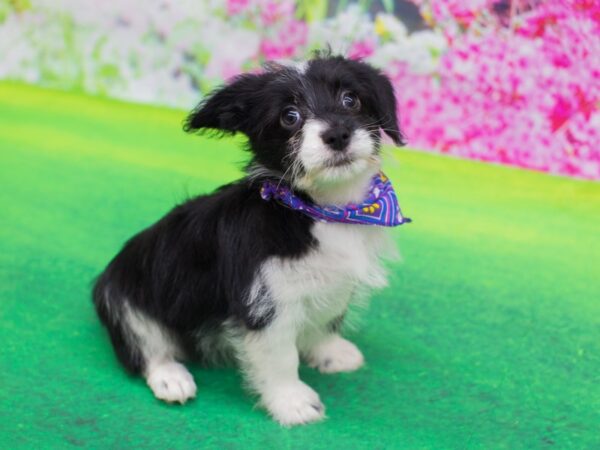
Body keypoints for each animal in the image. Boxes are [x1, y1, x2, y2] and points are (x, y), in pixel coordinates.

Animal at [92, 54, 408, 428]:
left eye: (350, 99)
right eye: (289, 116)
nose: (338, 133)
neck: (321, 210)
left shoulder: (335, 284)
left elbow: (326, 320)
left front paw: (331, 353)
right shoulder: (266, 303)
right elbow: (281, 356)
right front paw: (293, 402)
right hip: (124, 303)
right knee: (146, 350)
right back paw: (172, 378)